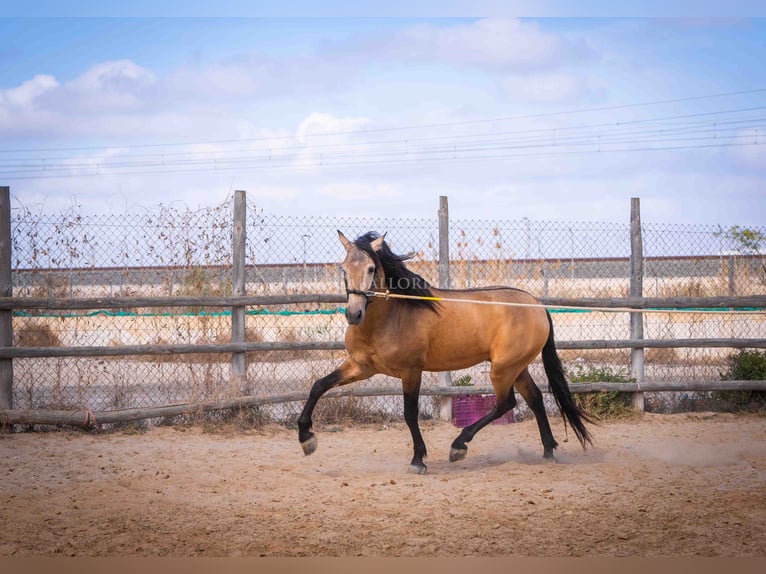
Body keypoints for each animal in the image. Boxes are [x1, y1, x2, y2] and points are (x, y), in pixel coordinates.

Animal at [298, 232, 592, 474]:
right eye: (343, 268)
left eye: (371, 268)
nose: (354, 314)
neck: (390, 316)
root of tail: (537, 305)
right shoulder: (361, 367)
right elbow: (318, 386)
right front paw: (306, 439)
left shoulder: (411, 371)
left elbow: (410, 413)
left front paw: (418, 460)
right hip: (517, 368)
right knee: (535, 399)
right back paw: (548, 451)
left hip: (503, 368)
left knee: (506, 403)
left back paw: (459, 446)